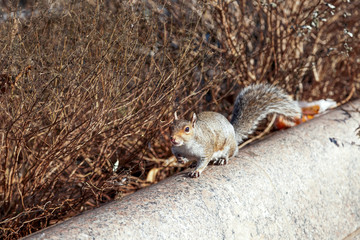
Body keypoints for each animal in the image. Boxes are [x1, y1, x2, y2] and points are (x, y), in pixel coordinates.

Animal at [169, 83, 300, 177]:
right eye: (170, 126)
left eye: (187, 129)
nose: (172, 138)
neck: (186, 145)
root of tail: (233, 133)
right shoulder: (176, 148)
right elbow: (177, 154)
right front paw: (180, 159)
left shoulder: (206, 148)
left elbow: (204, 161)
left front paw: (197, 171)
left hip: (229, 146)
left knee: (231, 153)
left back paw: (222, 160)